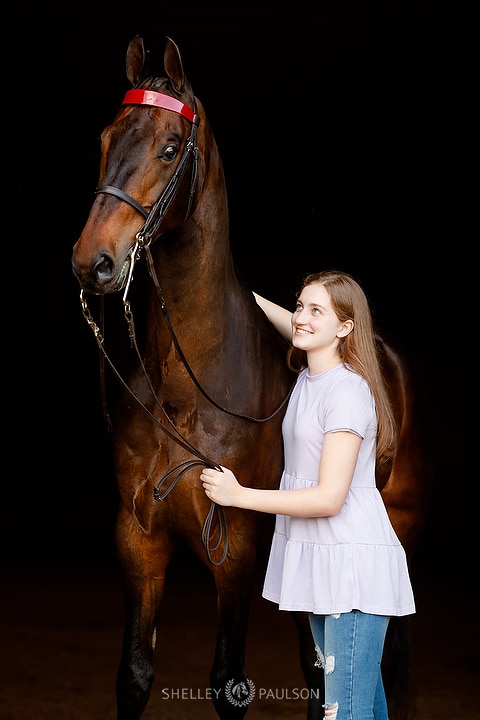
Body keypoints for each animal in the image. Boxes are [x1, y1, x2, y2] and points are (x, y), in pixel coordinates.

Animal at [71, 35, 432, 720]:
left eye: (168, 147)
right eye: (105, 138)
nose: (91, 263)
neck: (188, 391)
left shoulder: (235, 545)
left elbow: (230, 683)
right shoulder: (138, 539)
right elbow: (133, 674)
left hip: (396, 532)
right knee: (321, 667)